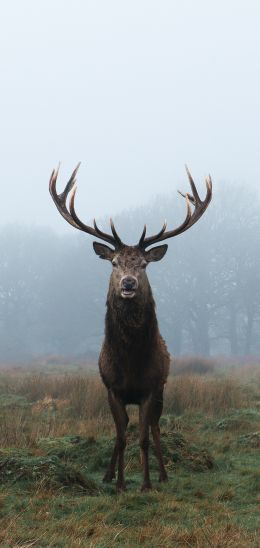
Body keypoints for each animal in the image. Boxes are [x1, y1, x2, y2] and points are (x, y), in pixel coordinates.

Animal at [48, 164, 211, 492]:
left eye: (144, 265)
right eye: (113, 263)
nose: (128, 283)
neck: (131, 363)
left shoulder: (150, 388)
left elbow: (144, 437)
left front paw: (146, 483)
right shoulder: (112, 389)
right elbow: (122, 437)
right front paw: (120, 483)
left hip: (162, 390)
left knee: (156, 427)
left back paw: (163, 474)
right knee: (120, 431)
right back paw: (108, 475)